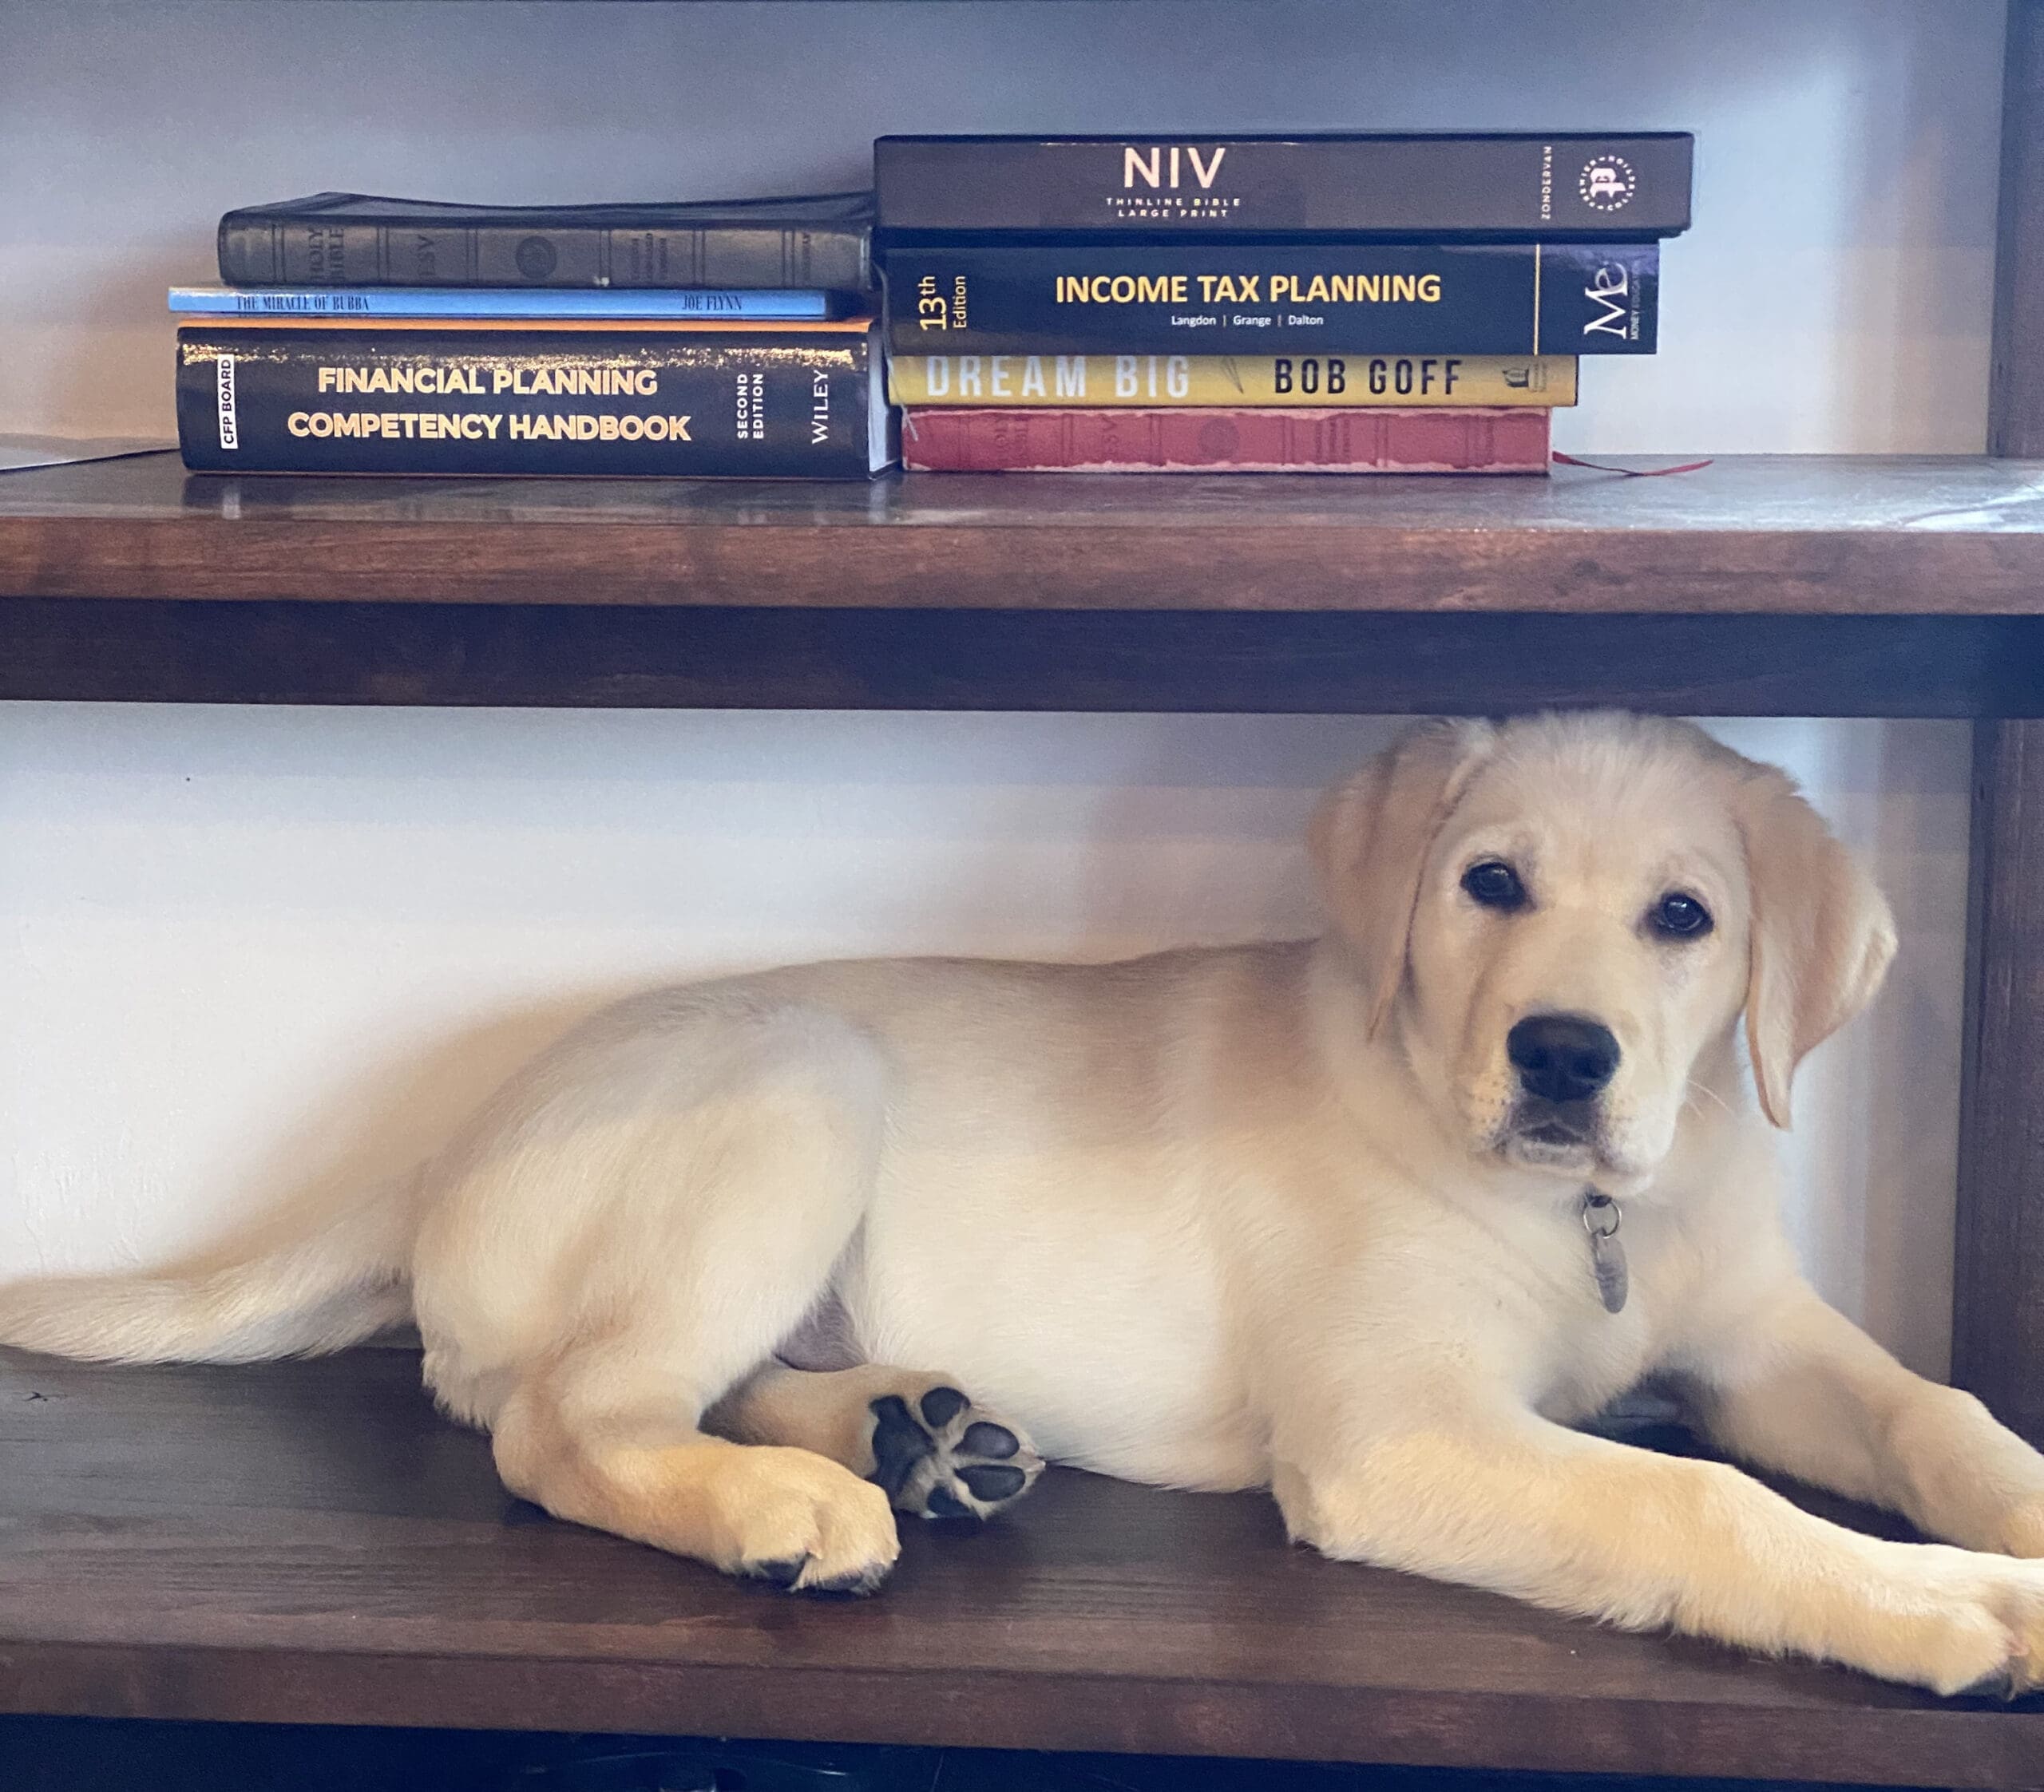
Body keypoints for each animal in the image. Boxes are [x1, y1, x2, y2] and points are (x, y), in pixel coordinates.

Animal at [4, 714, 2044, 1691]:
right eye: (1486, 882)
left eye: (1683, 917)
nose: (1560, 1054)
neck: (1581, 1216)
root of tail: (446, 1135)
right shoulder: (1393, 1431)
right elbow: (1695, 1496)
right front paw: (1942, 1603)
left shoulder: (1757, 1330)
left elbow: (1928, 1409)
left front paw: (2006, 1517)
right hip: (800, 1078)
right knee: (558, 1419)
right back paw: (792, 1504)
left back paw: (917, 1427)